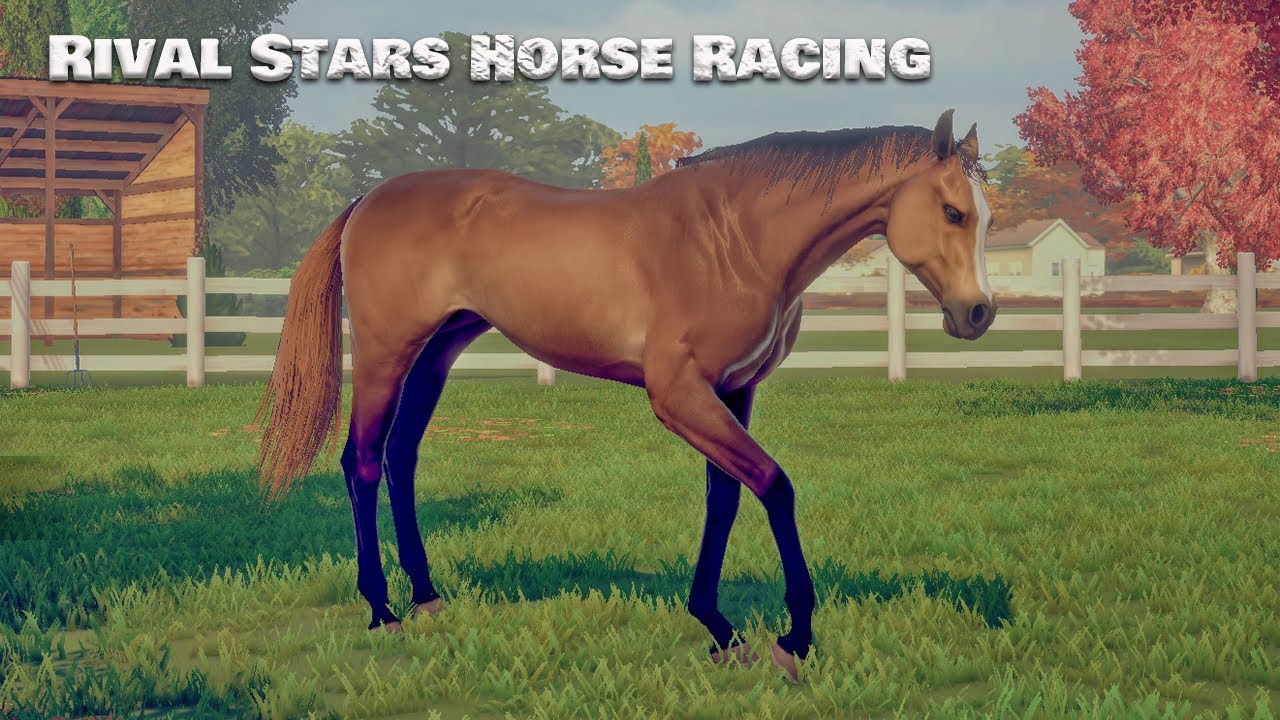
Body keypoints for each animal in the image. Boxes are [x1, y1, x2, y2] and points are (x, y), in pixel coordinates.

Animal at [255, 109, 996, 683]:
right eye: (952, 210)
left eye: (984, 216)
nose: (979, 313)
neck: (735, 238)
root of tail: (367, 202)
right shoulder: (678, 395)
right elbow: (774, 487)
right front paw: (792, 640)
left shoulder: (732, 391)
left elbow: (726, 499)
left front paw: (721, 631)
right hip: (386, 354)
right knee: (363, 462)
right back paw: (382, 611)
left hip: (440, 351)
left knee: (402, 458)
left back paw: (429, 598)